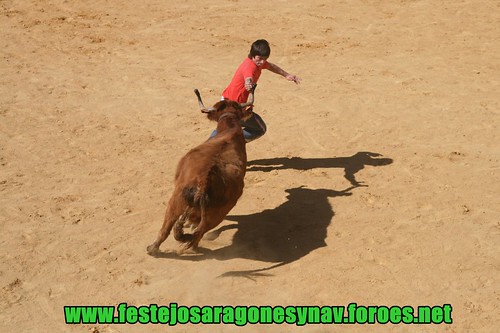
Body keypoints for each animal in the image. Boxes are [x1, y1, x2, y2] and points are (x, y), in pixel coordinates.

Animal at [145, 86, 254, 254]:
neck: (230, 130)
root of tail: (204, 182)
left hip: (175, 201)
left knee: (166, 228)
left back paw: (153, 248)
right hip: (216, 214)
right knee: (199, 233)